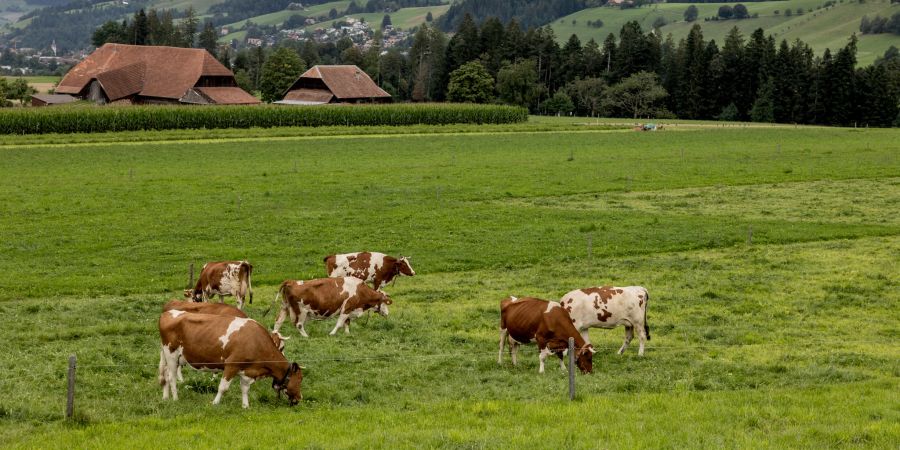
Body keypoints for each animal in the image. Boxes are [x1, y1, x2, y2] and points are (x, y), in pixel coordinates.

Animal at [158, 312, 302, 410]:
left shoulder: (247, 370)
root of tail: (168, 312)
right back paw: (175, 399)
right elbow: (223, 387)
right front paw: (215, 403)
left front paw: (245, 406)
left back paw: (165, 398)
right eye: (300, 379)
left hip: (171, 357)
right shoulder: (232, 365)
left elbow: (245, 388)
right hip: (171, 354)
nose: (300, 398)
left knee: (165, 375)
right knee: (172, 378)